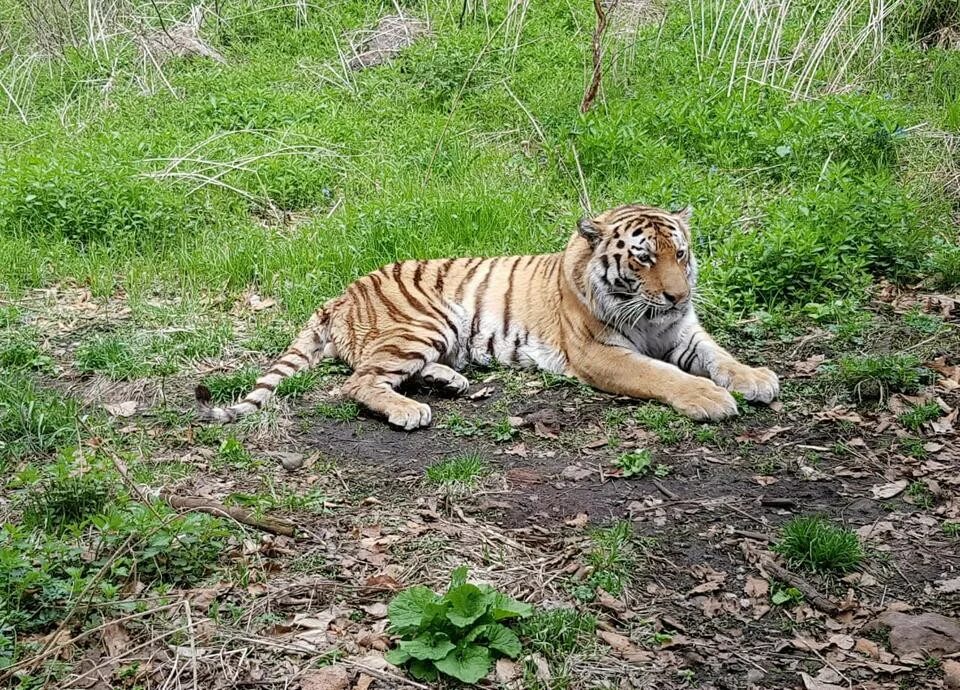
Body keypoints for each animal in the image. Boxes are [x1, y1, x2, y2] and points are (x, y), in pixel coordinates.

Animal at [195, 202, 780, 428]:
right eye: (643, 258)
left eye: (679, 253)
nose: (679, 296)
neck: (653, 318)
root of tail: (342, 292)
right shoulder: (601, 354)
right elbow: (661, 375)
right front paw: (710, 399)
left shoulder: (685, 332)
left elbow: (721, 356)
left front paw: (756, 378)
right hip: (425, 320)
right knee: (357, 381)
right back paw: (411, 410)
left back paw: (449, 380)